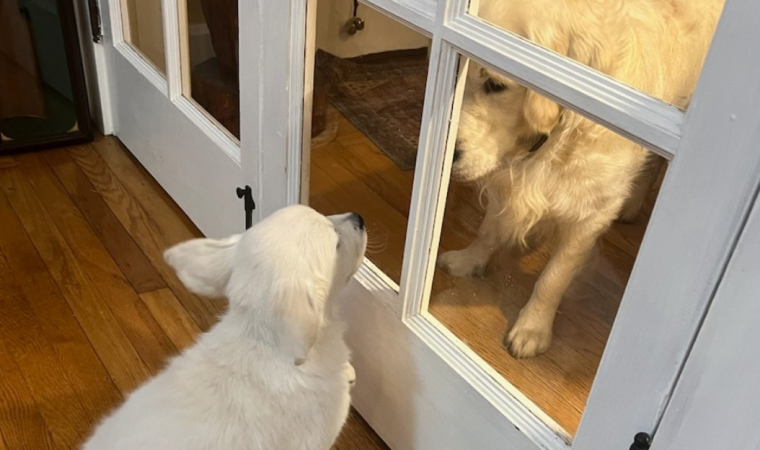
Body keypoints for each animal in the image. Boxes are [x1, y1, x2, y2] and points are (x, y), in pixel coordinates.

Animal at [436, 0, 720, 358]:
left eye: (496, 84)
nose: (445, 151)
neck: (556, 135)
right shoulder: (506, 183)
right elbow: (488, 231)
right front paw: (469, 260)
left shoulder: (592, 215)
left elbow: (553, 278)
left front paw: (532, 328)